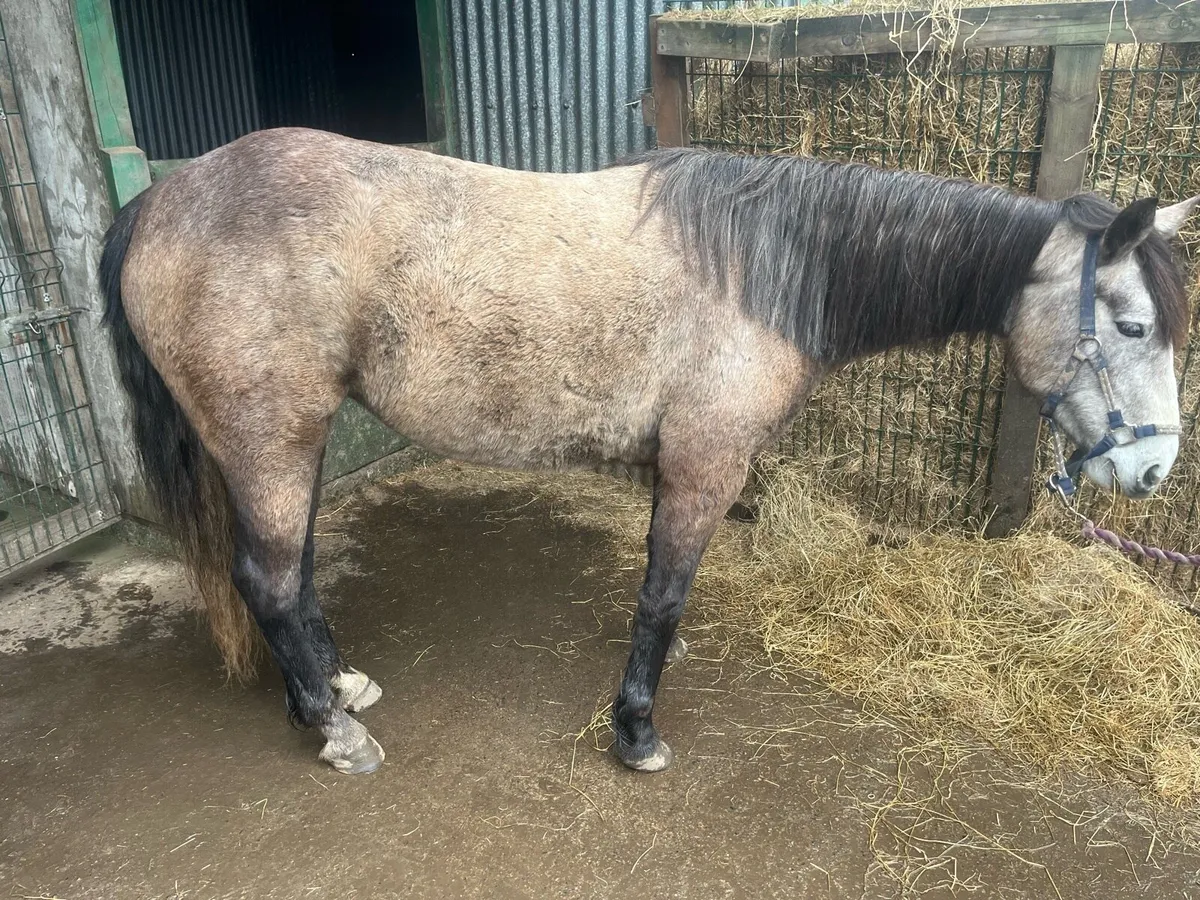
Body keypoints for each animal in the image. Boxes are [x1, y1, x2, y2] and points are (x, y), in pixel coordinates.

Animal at [100, 128, 1197, 775]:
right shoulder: (706, 462)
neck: (763, 267)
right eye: (1133, 325)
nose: (1149, 472)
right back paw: (335, 730)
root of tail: (159, 202)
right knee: (268, 579)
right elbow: (662, 598)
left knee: (287, 574)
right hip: (272, 436)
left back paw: (335, 691)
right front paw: (635, 733)